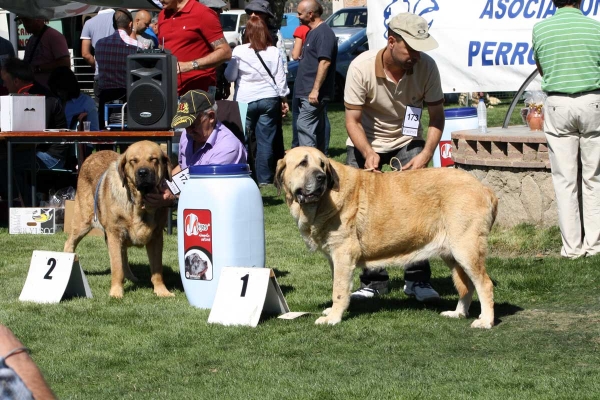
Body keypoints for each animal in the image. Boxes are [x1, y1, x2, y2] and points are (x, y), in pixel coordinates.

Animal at [65, 140, 173, 296]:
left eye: (154, 159)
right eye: (133, 161)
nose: (143, 172)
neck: (139, 203)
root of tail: (93, 155)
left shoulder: (156, 237)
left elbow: (157, 269)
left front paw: (161, 291)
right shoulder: (115, 234)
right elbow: (117, 267)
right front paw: (116, 292)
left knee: (124, 257)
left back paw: (131, 277)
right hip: (82, 222)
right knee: (69, 243)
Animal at [276, 147, 496, 328]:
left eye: (322, 165)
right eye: (303, 163)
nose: (321, 177)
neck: (322, 202)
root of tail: (485, 189)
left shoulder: (343, 254)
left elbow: (338, 289)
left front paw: (333, 318)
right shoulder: (334, 258)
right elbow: (337, 285)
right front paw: (332, 311)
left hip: (466, 249)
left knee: (484, 284)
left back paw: (485, 321)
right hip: (453, 254)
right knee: (467, 285)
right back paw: (458, 313)